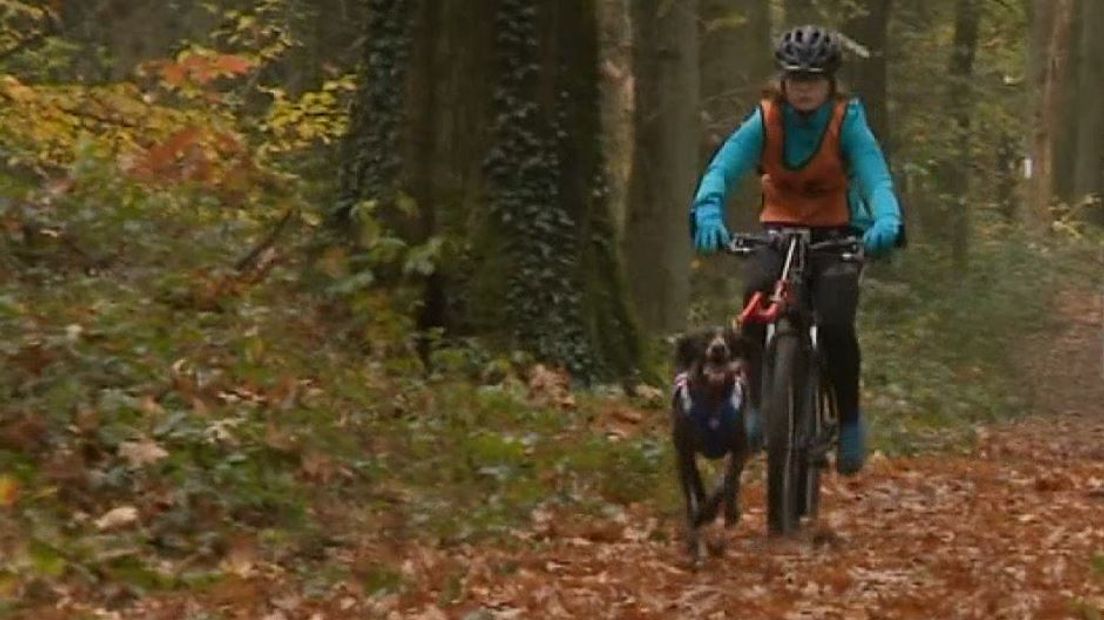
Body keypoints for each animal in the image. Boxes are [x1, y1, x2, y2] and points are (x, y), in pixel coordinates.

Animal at [666, 326, 755, 562]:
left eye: (727, 337)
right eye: (705, 337)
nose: (718, 348)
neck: (713, 402)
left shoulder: (741, 447)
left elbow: (729, 480)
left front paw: (727, 512)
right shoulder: (685, 451)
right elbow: (693, 495)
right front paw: (699, 521)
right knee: (693, 486)